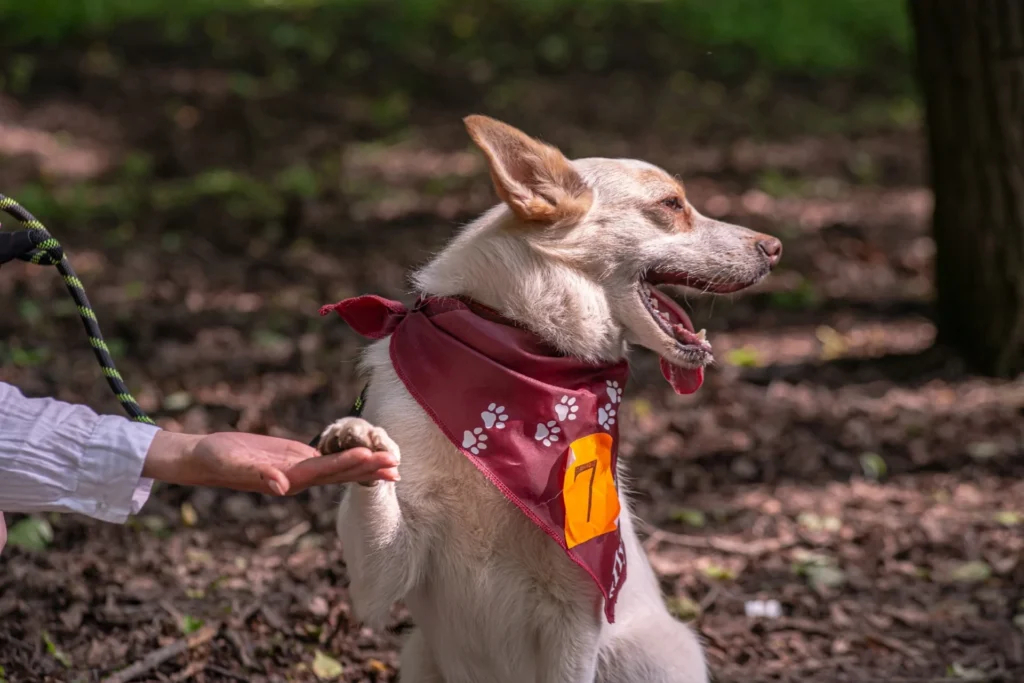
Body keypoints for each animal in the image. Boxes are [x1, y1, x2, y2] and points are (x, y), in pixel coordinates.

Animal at [319, 114, 782, 679]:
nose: (775, 247)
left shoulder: (577, 610)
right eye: (672, 204)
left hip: (652, 651)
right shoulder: (383, 576)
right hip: (419, 654)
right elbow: (378, 502)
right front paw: (359, 443)